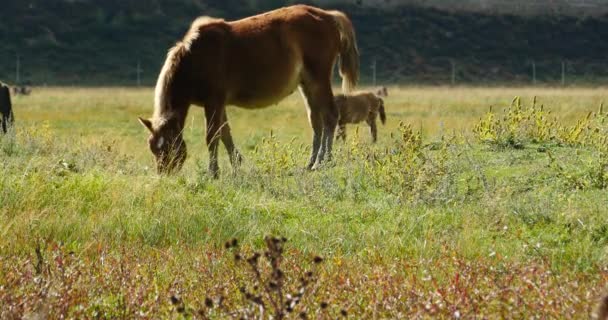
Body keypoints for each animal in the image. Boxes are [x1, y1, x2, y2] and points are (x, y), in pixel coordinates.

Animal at [138, 4, 358, 175]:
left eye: (168, 145)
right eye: (152, 147)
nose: (164, 174)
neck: (194, 59)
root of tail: (328, 16)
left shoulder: (213, 102)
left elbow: (212, 136)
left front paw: (213, 172)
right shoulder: (219, 104)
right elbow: (225, 134)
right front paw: (236, 166)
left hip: (319, 80)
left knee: (330, 116)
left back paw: (323, 161)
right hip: (307, 85)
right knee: (316, 121)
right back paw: (311, 162)